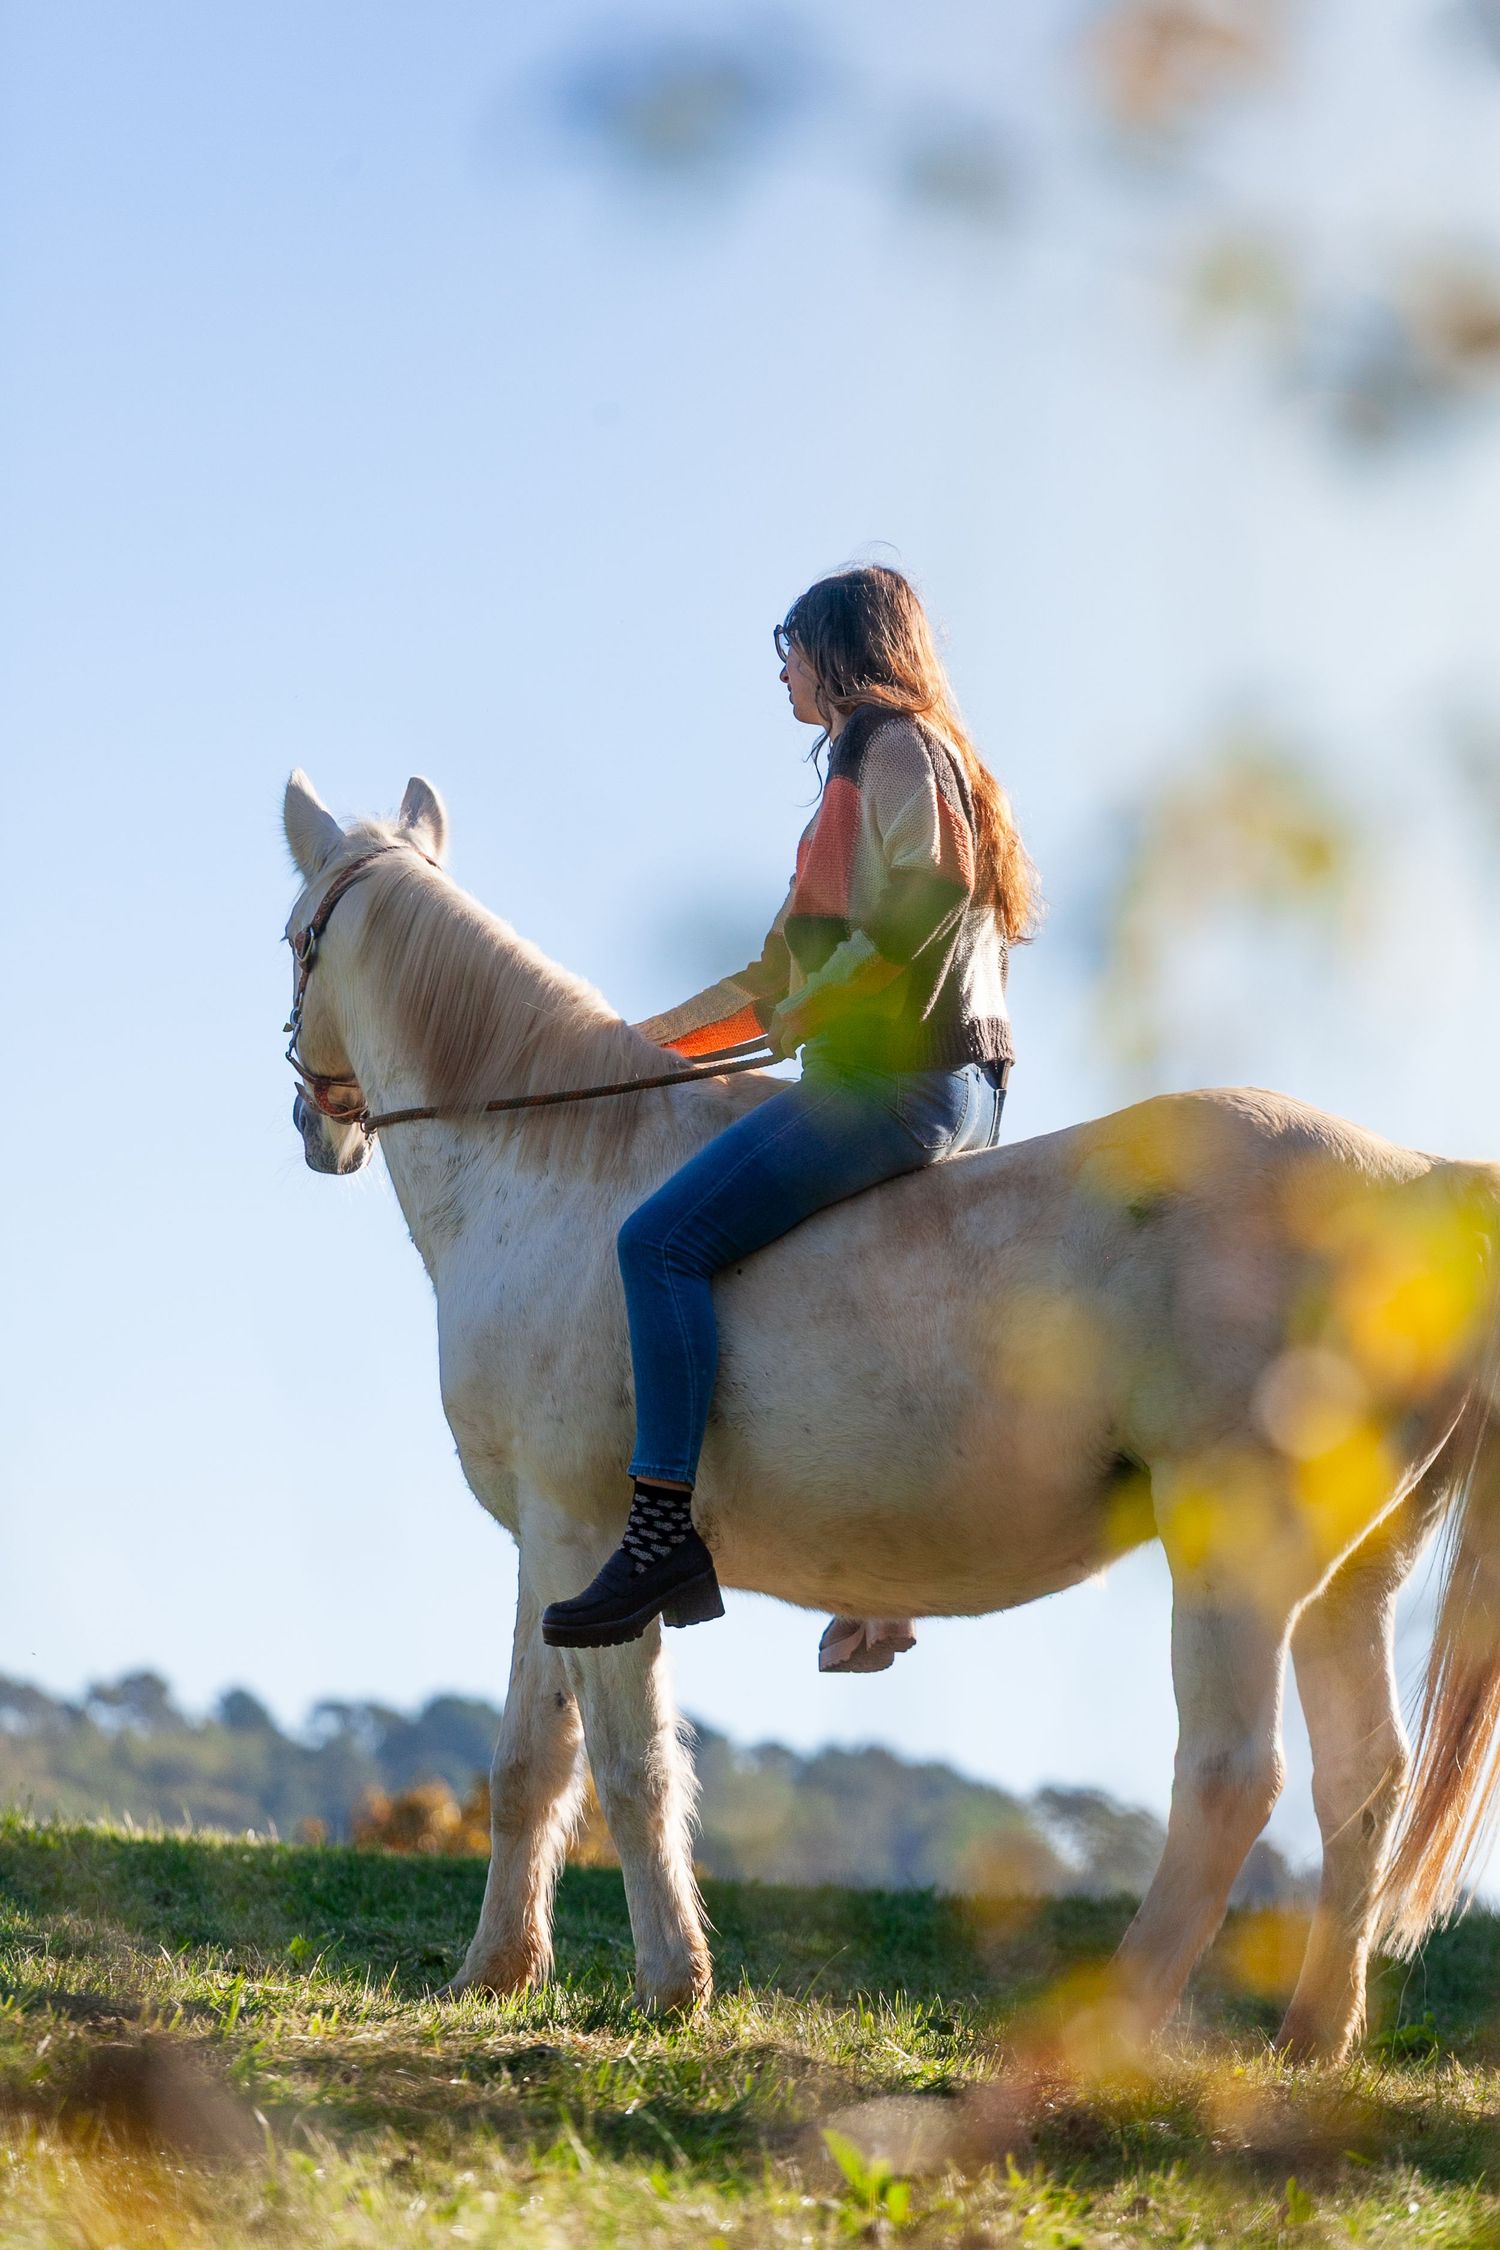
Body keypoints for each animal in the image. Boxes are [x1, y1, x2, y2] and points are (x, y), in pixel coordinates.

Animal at [281, 769, 1500, 2062]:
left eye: (296, 939)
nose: (318, 1125)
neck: (553, 1154)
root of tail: (1419, 1179)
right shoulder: (551, 1551)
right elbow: (530, 1762)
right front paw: (496, 1973)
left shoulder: (590, 1532)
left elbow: (630, 1765)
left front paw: (670, 1982)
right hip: (1354, 1580)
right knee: (1360, 1784)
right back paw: (1311, 2040)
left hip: (1237, 1556)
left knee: (1231, 1779)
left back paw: (1099, 2028)